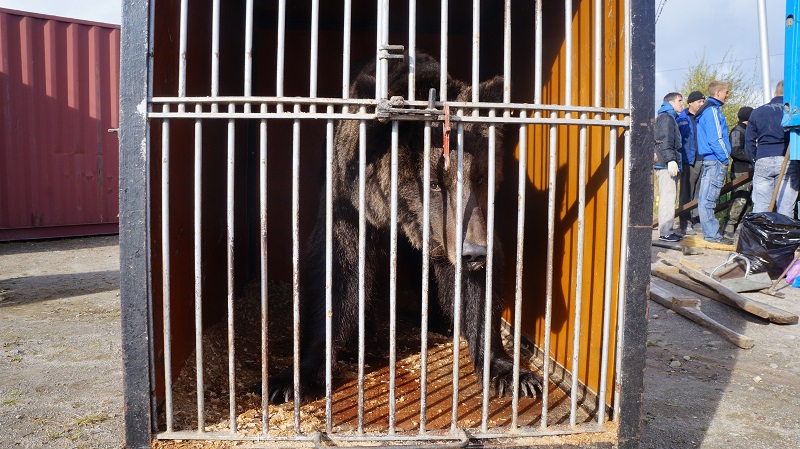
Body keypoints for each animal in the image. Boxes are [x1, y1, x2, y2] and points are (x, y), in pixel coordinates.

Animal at [265, 52, 543, 404]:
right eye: (435, 183)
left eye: (480, 177)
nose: (474, 253)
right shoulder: (351, 202)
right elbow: (338, 269)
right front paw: (293, 379)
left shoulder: (462, 226)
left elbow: (477, 288)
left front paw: (512, 374)